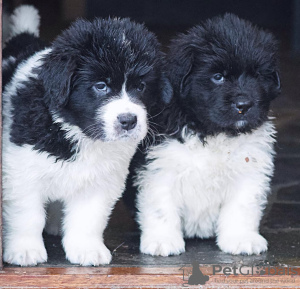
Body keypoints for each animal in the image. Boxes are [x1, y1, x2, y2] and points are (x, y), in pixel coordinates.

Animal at [2, 5, 169, 266]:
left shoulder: (101, 180)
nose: (128, 121)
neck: (79, 134)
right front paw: (25, 250)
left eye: (141, 86)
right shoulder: (21, 170)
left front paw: (86, 249)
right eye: (101, 86)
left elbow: (88, 218)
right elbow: (27, 215)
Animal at [136, 14, 282, 255]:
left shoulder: (249, 169)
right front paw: (162, 241)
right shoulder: (160, 167)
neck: (213, 132)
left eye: (258, 75)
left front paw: (242, 238)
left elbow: (242, 207)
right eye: (218, 77)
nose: (244, 105)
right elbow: (160, 207)